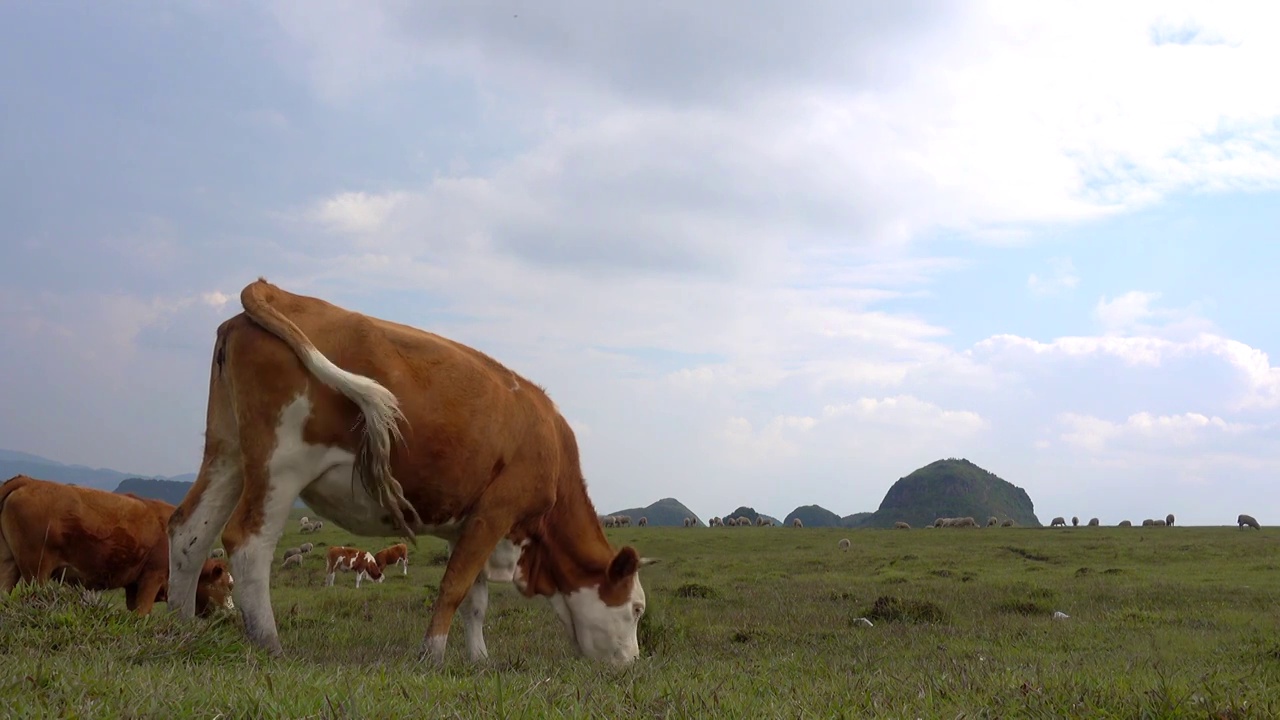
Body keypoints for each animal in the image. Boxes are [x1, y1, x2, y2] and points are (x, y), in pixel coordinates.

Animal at [166, 278, 655, 666]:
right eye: (636, 609)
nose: (632, 663)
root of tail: (275, 291)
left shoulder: (469, 524)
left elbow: (476, 600)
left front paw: (479, 659)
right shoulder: (497, 510)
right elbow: (454, 588)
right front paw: (432, 655)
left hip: (226, 452)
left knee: (189, 532)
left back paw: (180, 628)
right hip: (281, 462)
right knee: (248, 541)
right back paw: (269, 643)